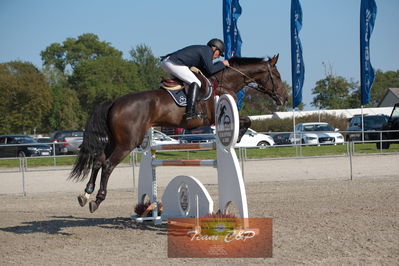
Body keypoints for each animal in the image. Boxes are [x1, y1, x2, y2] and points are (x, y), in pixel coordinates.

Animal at [69, 55, 288, 213]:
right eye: (277, 76)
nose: (284, 98)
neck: (225, 82)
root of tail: (114, 102)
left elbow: (248, 120)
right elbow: (247, 120)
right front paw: (240, 137)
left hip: (115, 140)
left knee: (98, 160)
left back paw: (85, 195)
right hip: (127, 143)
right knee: (107, 165)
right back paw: (97, 199)